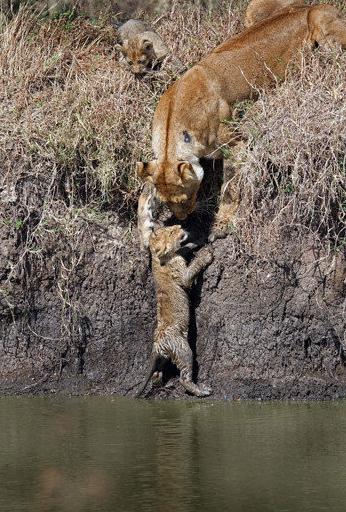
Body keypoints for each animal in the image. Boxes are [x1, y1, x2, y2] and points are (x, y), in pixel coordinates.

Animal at [137, 2, 344, 246]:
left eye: (183, 197)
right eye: (166, 201)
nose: (183, 218)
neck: (172, 133)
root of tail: (312, 4)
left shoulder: (235, 146)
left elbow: (229, 188)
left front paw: (221, 226)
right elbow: (145, 194)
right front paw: (145, 231)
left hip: (322, 26)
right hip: (252, 11)